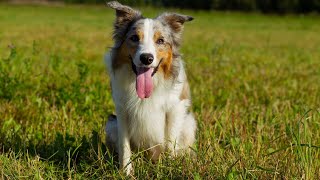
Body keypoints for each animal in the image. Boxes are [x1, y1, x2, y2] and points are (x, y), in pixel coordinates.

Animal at [105, 0, 196, 174]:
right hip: (111, 123)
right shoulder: (122, 110)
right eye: (134, 38)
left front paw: (169, 168)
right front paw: (126, 172)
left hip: (189, 124)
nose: (146, 58)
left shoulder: (175, 108)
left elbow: (170, 142)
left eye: (160, 41)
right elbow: (124, 145)